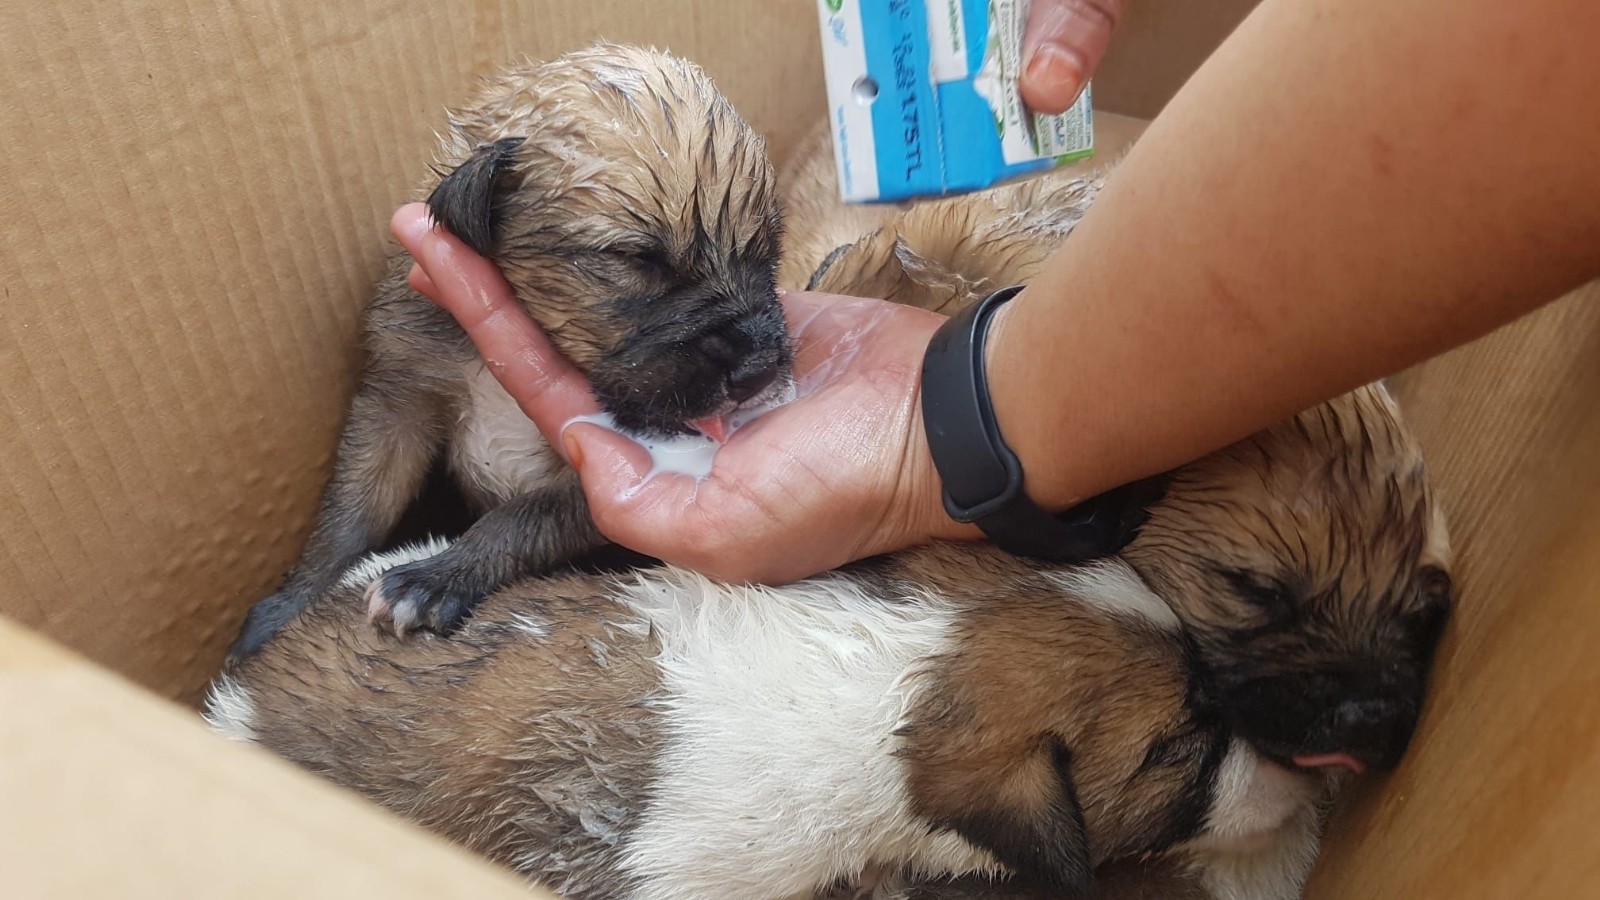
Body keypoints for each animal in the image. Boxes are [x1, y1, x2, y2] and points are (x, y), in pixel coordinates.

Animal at [225, 42, 793, 662]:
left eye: (768, 250)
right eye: (637, 259)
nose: (760, 369)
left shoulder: (586, 481)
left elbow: (519, 517)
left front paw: (434, 579)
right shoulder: (400, 397)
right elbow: (351, 512)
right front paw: (290, 605)